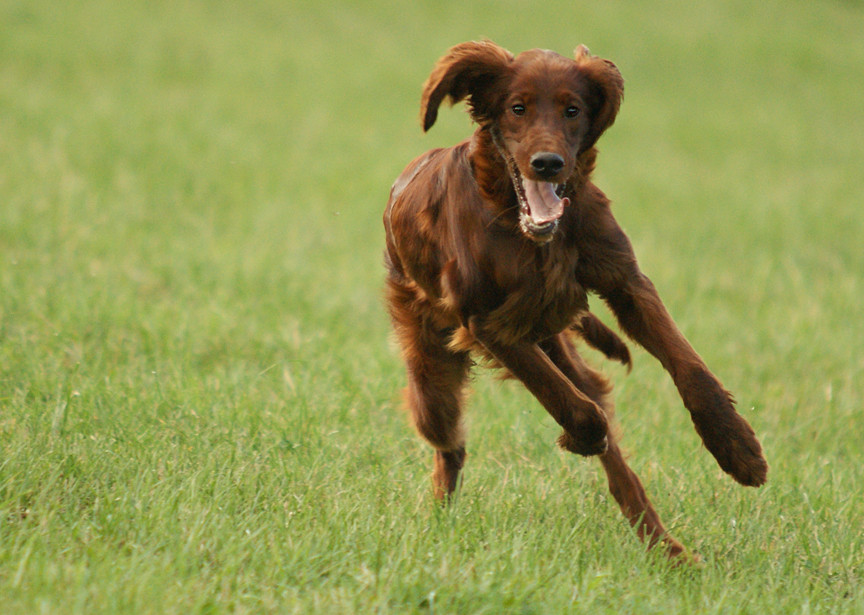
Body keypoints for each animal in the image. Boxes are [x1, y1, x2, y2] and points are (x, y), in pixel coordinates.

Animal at [382, 39, 768, 560]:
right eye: (517, 108)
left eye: (572, 110)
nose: (547, 163)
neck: (527, 230)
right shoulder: (485, 322)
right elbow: (572, 406)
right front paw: (578, 437)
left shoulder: (626, 282)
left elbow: (691, 371)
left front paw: (738, 449)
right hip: (433, 380)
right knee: (452, 444)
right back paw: (440, 517)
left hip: (557, 347)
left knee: (615, 455)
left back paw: (666, 549)